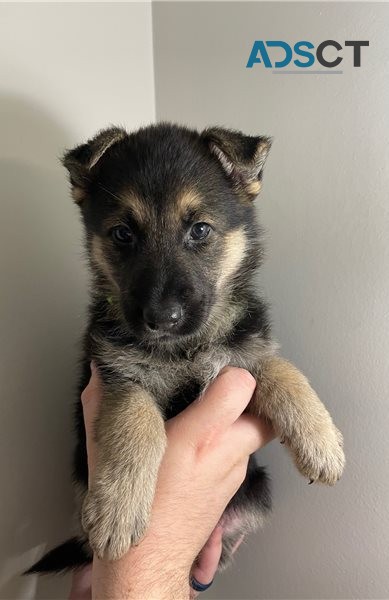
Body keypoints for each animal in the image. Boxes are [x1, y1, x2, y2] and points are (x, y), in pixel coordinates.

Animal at [26, 123, 342, 576]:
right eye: (123, 234)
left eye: (200, 230)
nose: (162, 317)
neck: (184, 349)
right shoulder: (119, 373)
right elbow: (135, 421)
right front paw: (117, 508)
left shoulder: (242, 354)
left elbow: (280, 368)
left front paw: (321, 441)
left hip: (257, 492)